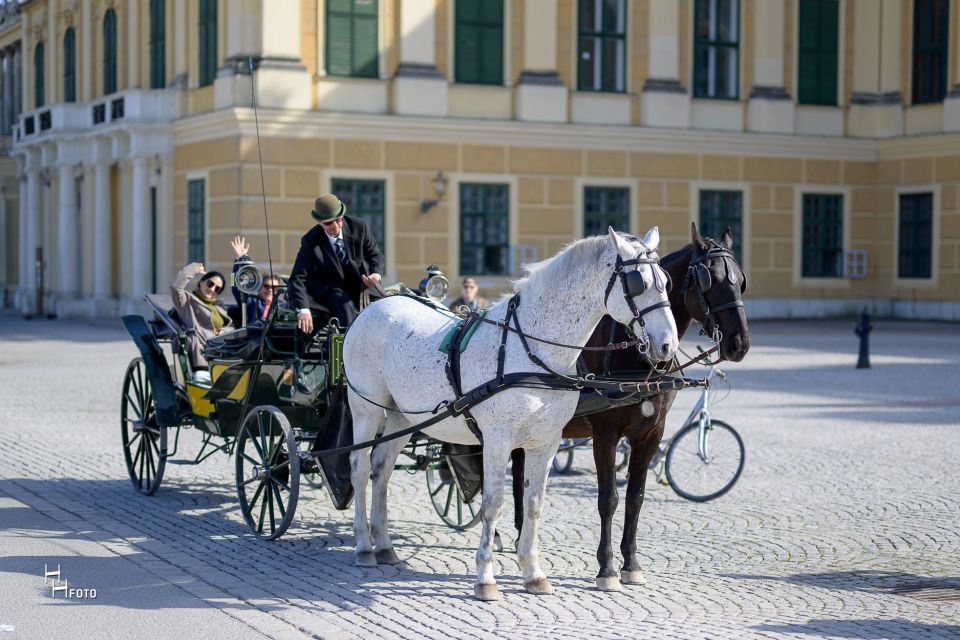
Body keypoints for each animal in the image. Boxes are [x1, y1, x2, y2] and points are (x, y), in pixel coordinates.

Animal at [342, 226, 680, 600]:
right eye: (637, 283)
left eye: (666, 281)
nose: (668, 345)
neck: (532, 350)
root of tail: (377, 304)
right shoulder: (498, 440)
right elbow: (494, 504)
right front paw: (485, 577)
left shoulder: (546, 442)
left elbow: (533, 503)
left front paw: (533, 572)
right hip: (366, 407)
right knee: (359, 467)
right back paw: (363, 545)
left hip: (402, 415)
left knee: (382, 468)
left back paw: (385, 544)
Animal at [510, 224, 752, 592]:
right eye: (709, 279)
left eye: (740, 280)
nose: (740, 343)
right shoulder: (605, 434)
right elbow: (608, 499)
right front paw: (607, 568)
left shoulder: (650, 434)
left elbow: (635, 498)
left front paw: (632, 564)